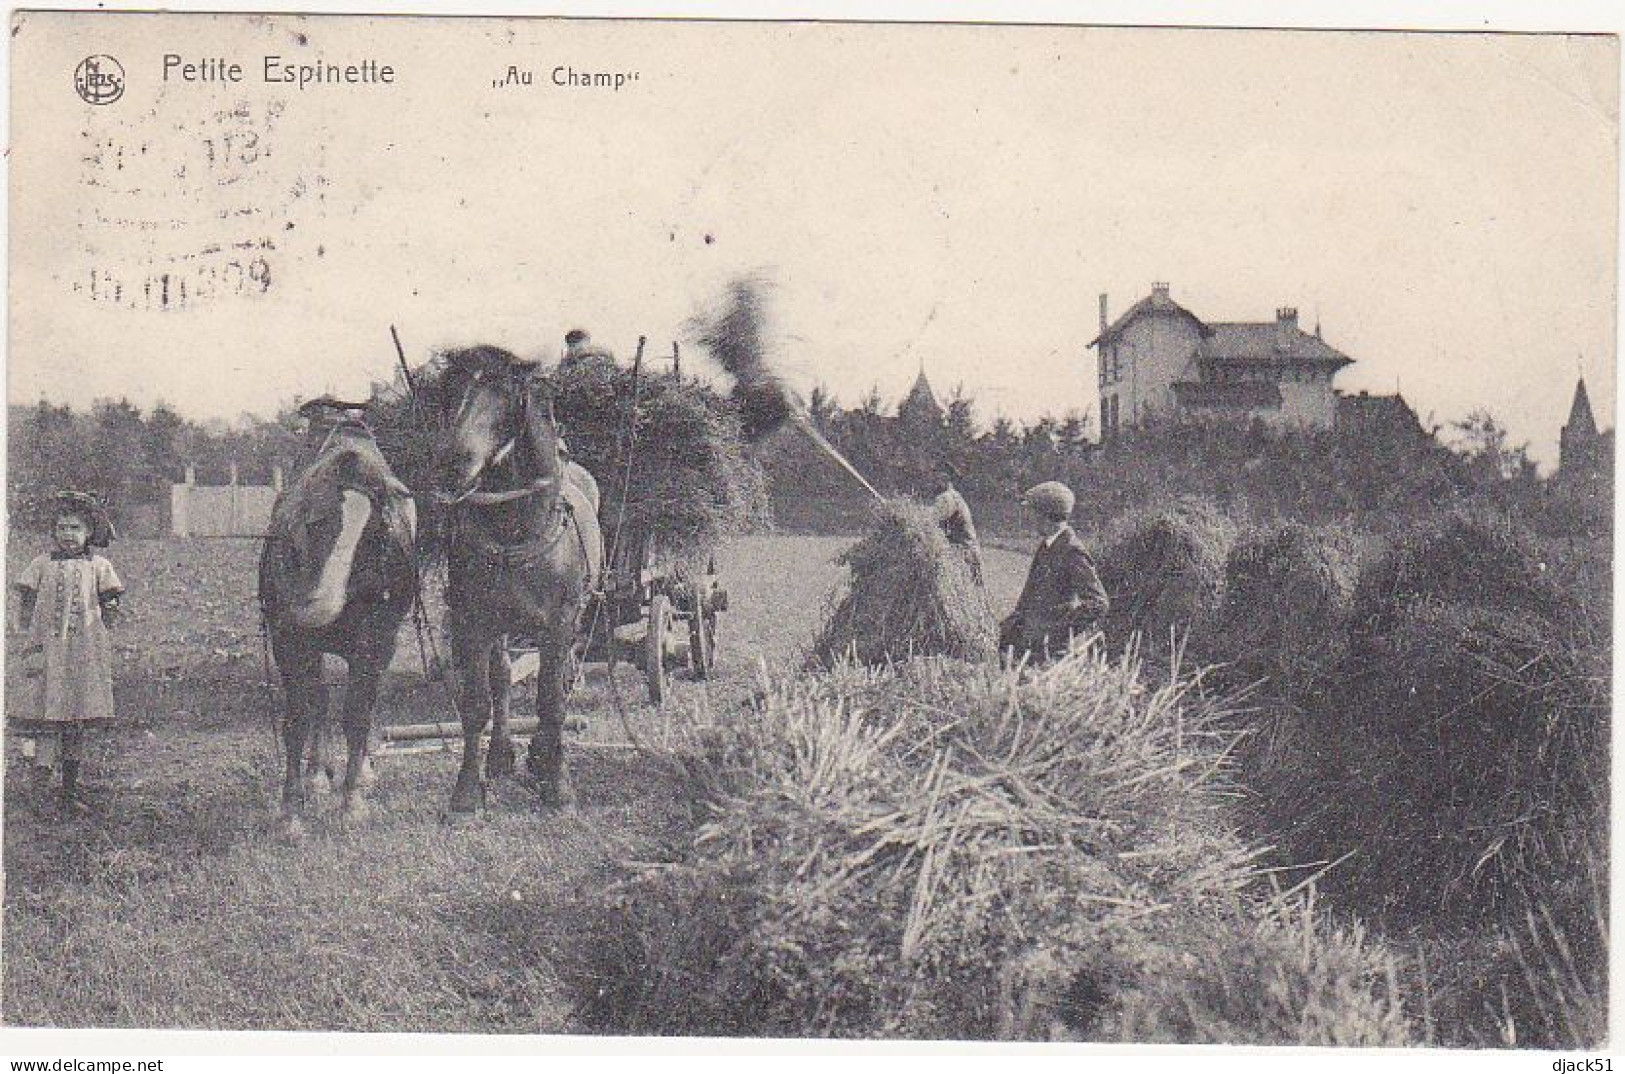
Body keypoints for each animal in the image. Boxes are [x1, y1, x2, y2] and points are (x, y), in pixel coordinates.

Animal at [255, 406, 419, 825]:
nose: (313, 603)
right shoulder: (290, 643)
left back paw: (361, 773)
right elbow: (300, 715)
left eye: (377, 533)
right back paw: (316, 775)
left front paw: (352, 802)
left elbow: (357, 714)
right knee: (320, 702)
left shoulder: (375, 643)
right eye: (316, 522)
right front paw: (291, 810)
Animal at [432, 347, 604, 809]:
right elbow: (478, 704)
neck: (515, 528)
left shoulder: (559, 624)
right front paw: (466, 791)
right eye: (450, 390)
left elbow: (551, 703)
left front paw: (558, 784)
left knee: (555, 682)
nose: (452, 464)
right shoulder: (473, 623)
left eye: (507, 395)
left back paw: (543, 756)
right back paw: (501, 757)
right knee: (506, 679)